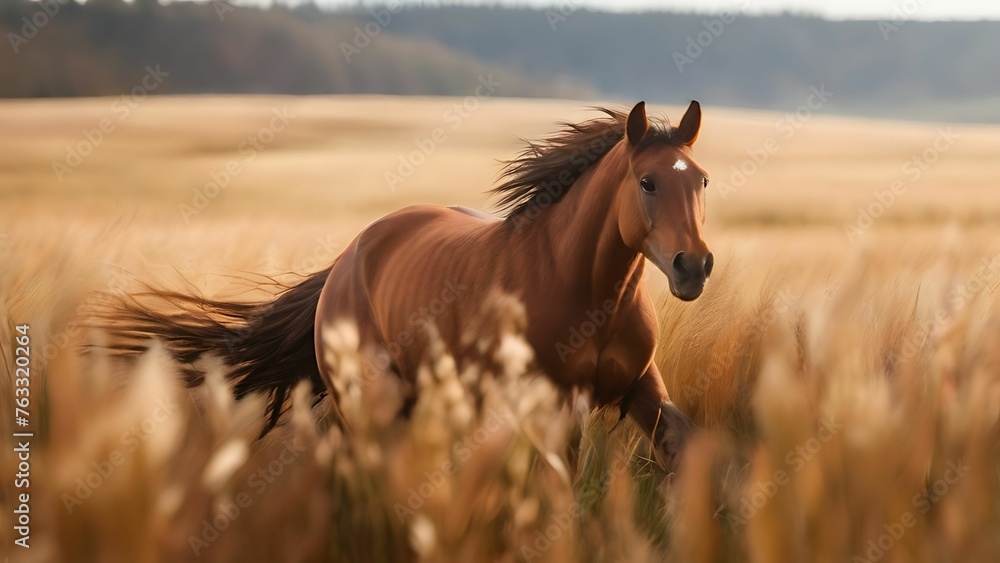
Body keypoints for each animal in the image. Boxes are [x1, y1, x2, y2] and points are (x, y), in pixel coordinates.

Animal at [106, 101, 713, 473]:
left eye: (702, 180)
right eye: (647, 182)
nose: (694, 266)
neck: (583, 287)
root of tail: (348, 257)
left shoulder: (642, 387)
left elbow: (682, 450)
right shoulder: (549, 400)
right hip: (369, 396)